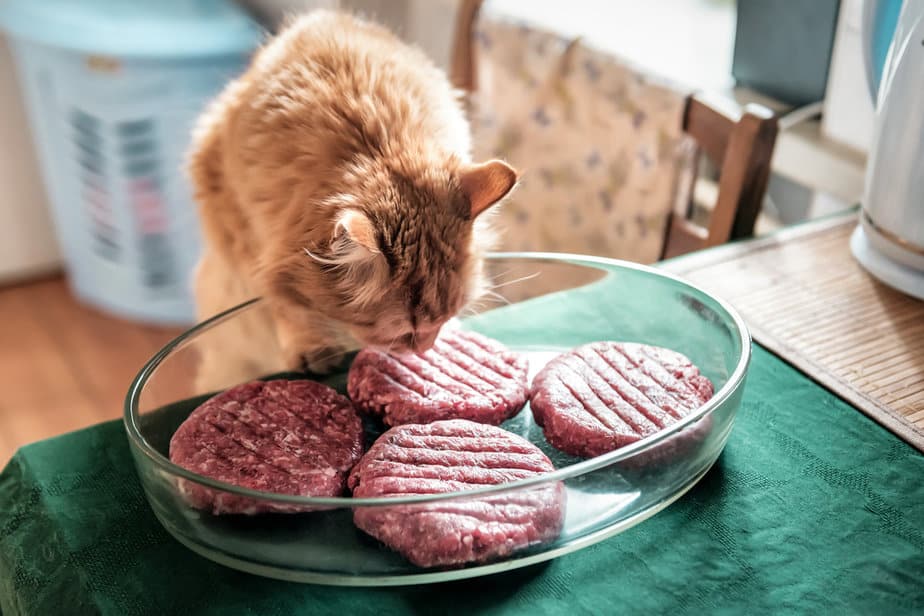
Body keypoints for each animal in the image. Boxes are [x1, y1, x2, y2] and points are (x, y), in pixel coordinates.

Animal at [188, 10, 516, 390]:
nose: (425, 349)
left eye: (445, 318)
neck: (373, 143)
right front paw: (311, 347)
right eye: (406, 333)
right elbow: (282, 302)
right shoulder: (235, 223)